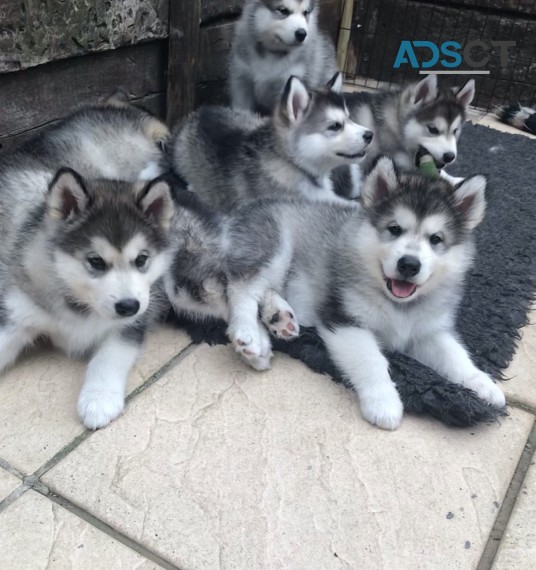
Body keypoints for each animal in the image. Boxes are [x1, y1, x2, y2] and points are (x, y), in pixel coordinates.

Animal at [164, 158, 506, 428]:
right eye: (394, 229)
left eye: (436, 239)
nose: (409, 264)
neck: (398, 306)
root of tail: (235, 213)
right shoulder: (342, 318)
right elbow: (371, 359)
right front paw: (384, 402)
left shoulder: (427, 331)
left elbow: (456, 356)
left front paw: (482, 384)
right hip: (272, 246)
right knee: (239, 291)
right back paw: (251, 336)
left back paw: (278, 318)